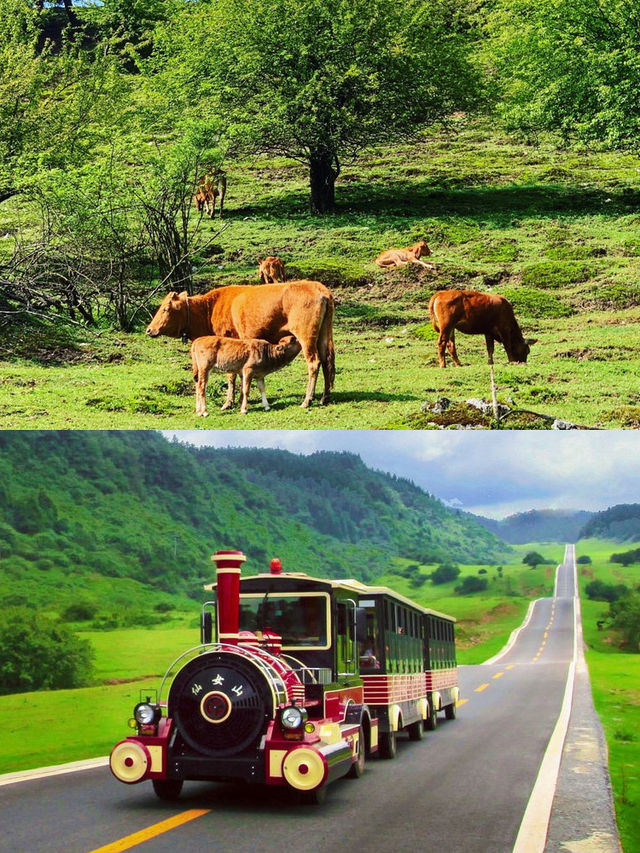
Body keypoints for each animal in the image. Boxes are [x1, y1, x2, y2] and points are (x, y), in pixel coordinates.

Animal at [146, 282, 336, 408]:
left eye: (166, 309)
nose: (149, 329)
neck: (209, 308)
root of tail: (319, 288)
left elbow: (231, 375)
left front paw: (230, 402)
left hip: (306, 336)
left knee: (314, 363)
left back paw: (307, 400)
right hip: (322, 336)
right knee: (326, 361)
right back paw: (324, 398)